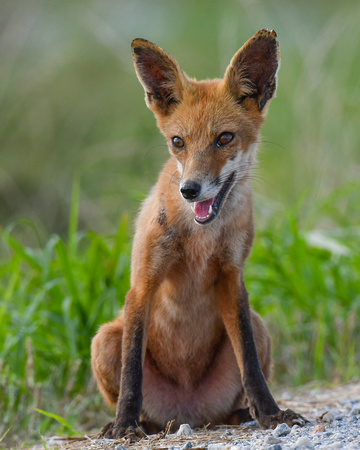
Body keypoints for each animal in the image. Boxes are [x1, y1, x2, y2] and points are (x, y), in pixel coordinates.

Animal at [90, 29, 306, 440]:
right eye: (178, 142)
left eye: (224, 138)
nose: (189, 190)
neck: (200, 239)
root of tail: (188, 415)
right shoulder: (143, 283)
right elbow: (131, 373)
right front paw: (125, 424)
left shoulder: (232, 278)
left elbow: (250, 364)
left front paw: (272, 414)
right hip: (105, 338)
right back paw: (136, 422)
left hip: (259, 326)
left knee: (239, 386)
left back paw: (243, 414)